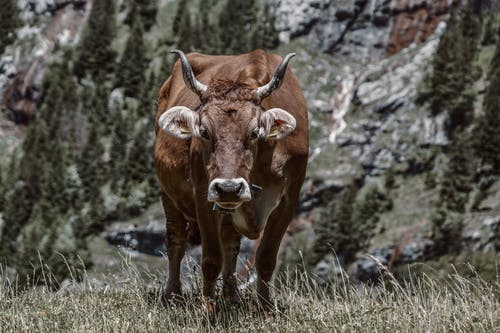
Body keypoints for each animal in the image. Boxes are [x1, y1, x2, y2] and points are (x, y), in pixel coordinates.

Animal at [153, 48, 308, 308]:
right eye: (204, 132)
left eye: (254, 132)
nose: (228, 187)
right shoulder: (203, 194)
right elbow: (210, 260)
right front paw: (207, 310)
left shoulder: (289, 200)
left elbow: (266, 258)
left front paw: (265, 309)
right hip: (168, 192)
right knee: (175, 239)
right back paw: (173, 295)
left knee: (230, 244)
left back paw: (231, 295)